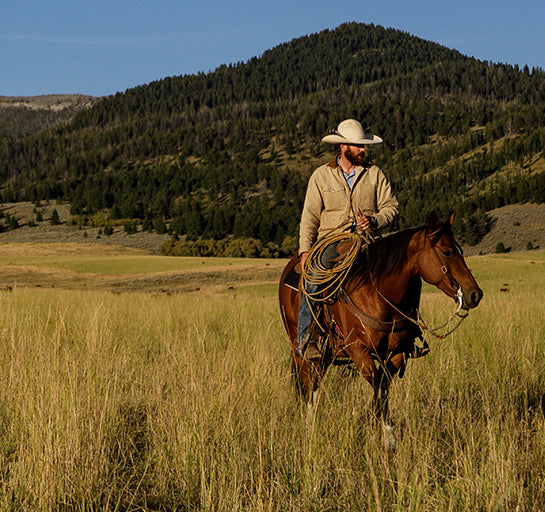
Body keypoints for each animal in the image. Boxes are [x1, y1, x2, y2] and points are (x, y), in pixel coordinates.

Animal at [278, 212, 482, 448]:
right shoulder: (359, 351)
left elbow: (383, 388)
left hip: (327, 351)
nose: (475, 294)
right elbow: (378, 386)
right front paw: (389, 436)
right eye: (447, 251)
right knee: (306, 383)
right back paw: (308, 425)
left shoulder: (397, 353)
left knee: (316, 381)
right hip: (298, 345)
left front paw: (377, 430)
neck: (378, 294)